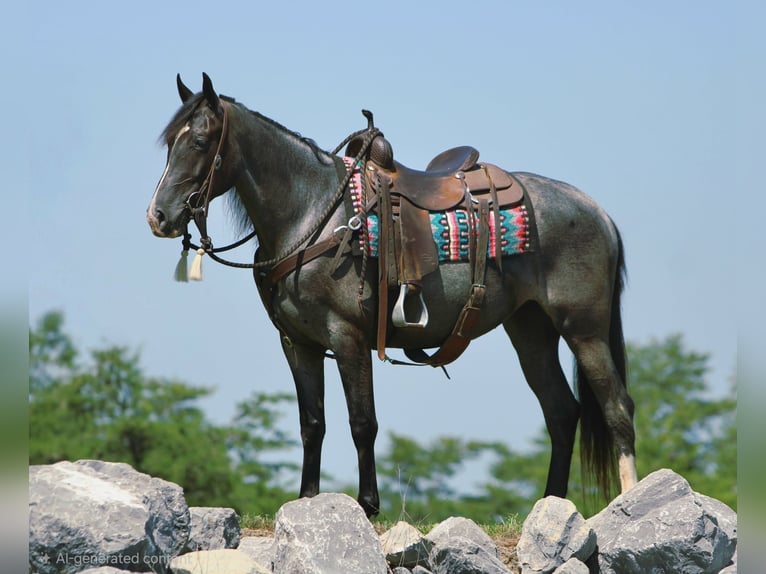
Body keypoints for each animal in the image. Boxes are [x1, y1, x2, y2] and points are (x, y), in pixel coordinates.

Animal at [146, 73, 637, 517]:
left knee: (617, 407)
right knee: (562, 412)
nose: (159, 216)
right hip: (531, 331)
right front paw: (308, 501)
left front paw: (368, 506)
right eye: (170, 143)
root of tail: (598, 211)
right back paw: (552, 503)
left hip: (585, 330)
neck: (312, 215)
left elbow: (362, 422)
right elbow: (312, 423)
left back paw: (628, 500)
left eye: (200, 141)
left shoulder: (347, 338)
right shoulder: (298, 343)